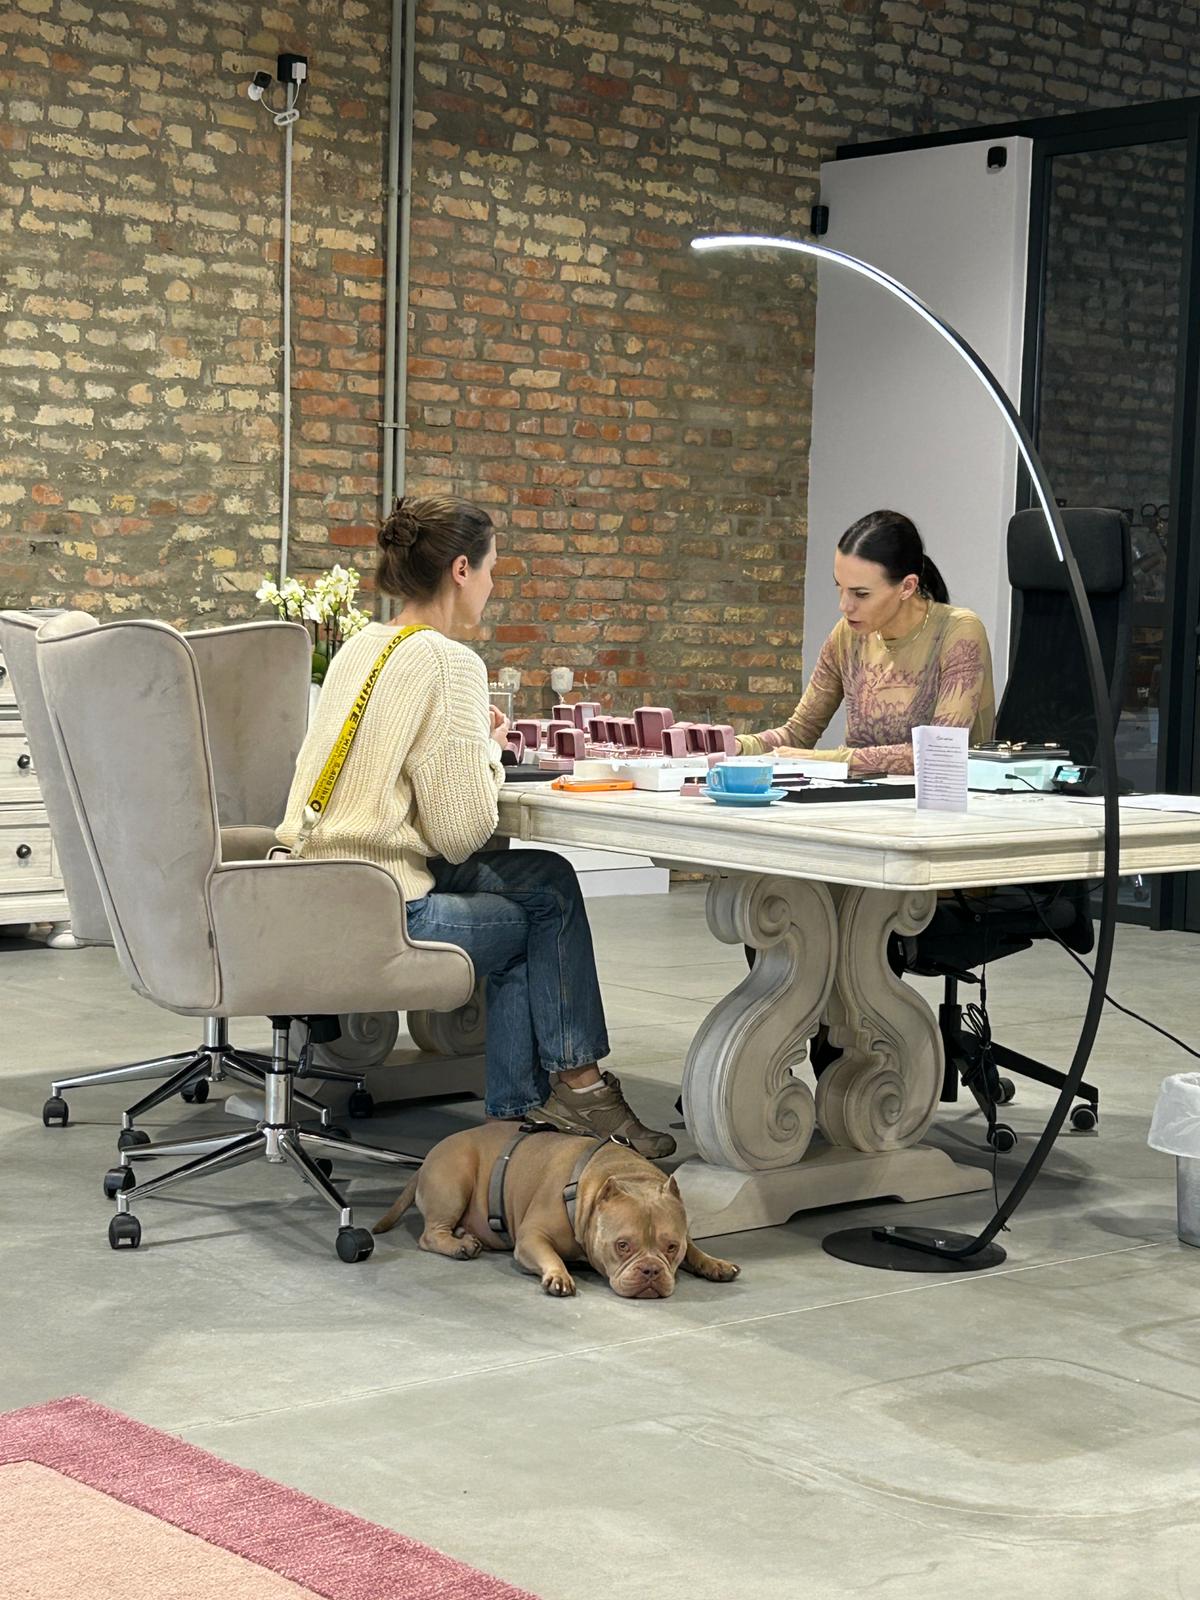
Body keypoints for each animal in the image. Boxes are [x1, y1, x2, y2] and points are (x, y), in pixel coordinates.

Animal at [372, 1122, 740, 1299]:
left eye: (671, 1247)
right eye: (622, 1246)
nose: (650, 1270)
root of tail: (426, 1160)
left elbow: (696, 1249)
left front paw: (714, 1263)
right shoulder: (531, 1238)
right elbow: (550, 1255)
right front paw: (558, 1276)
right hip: (455, 1180)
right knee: (430, 1235)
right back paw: (459, 1245)